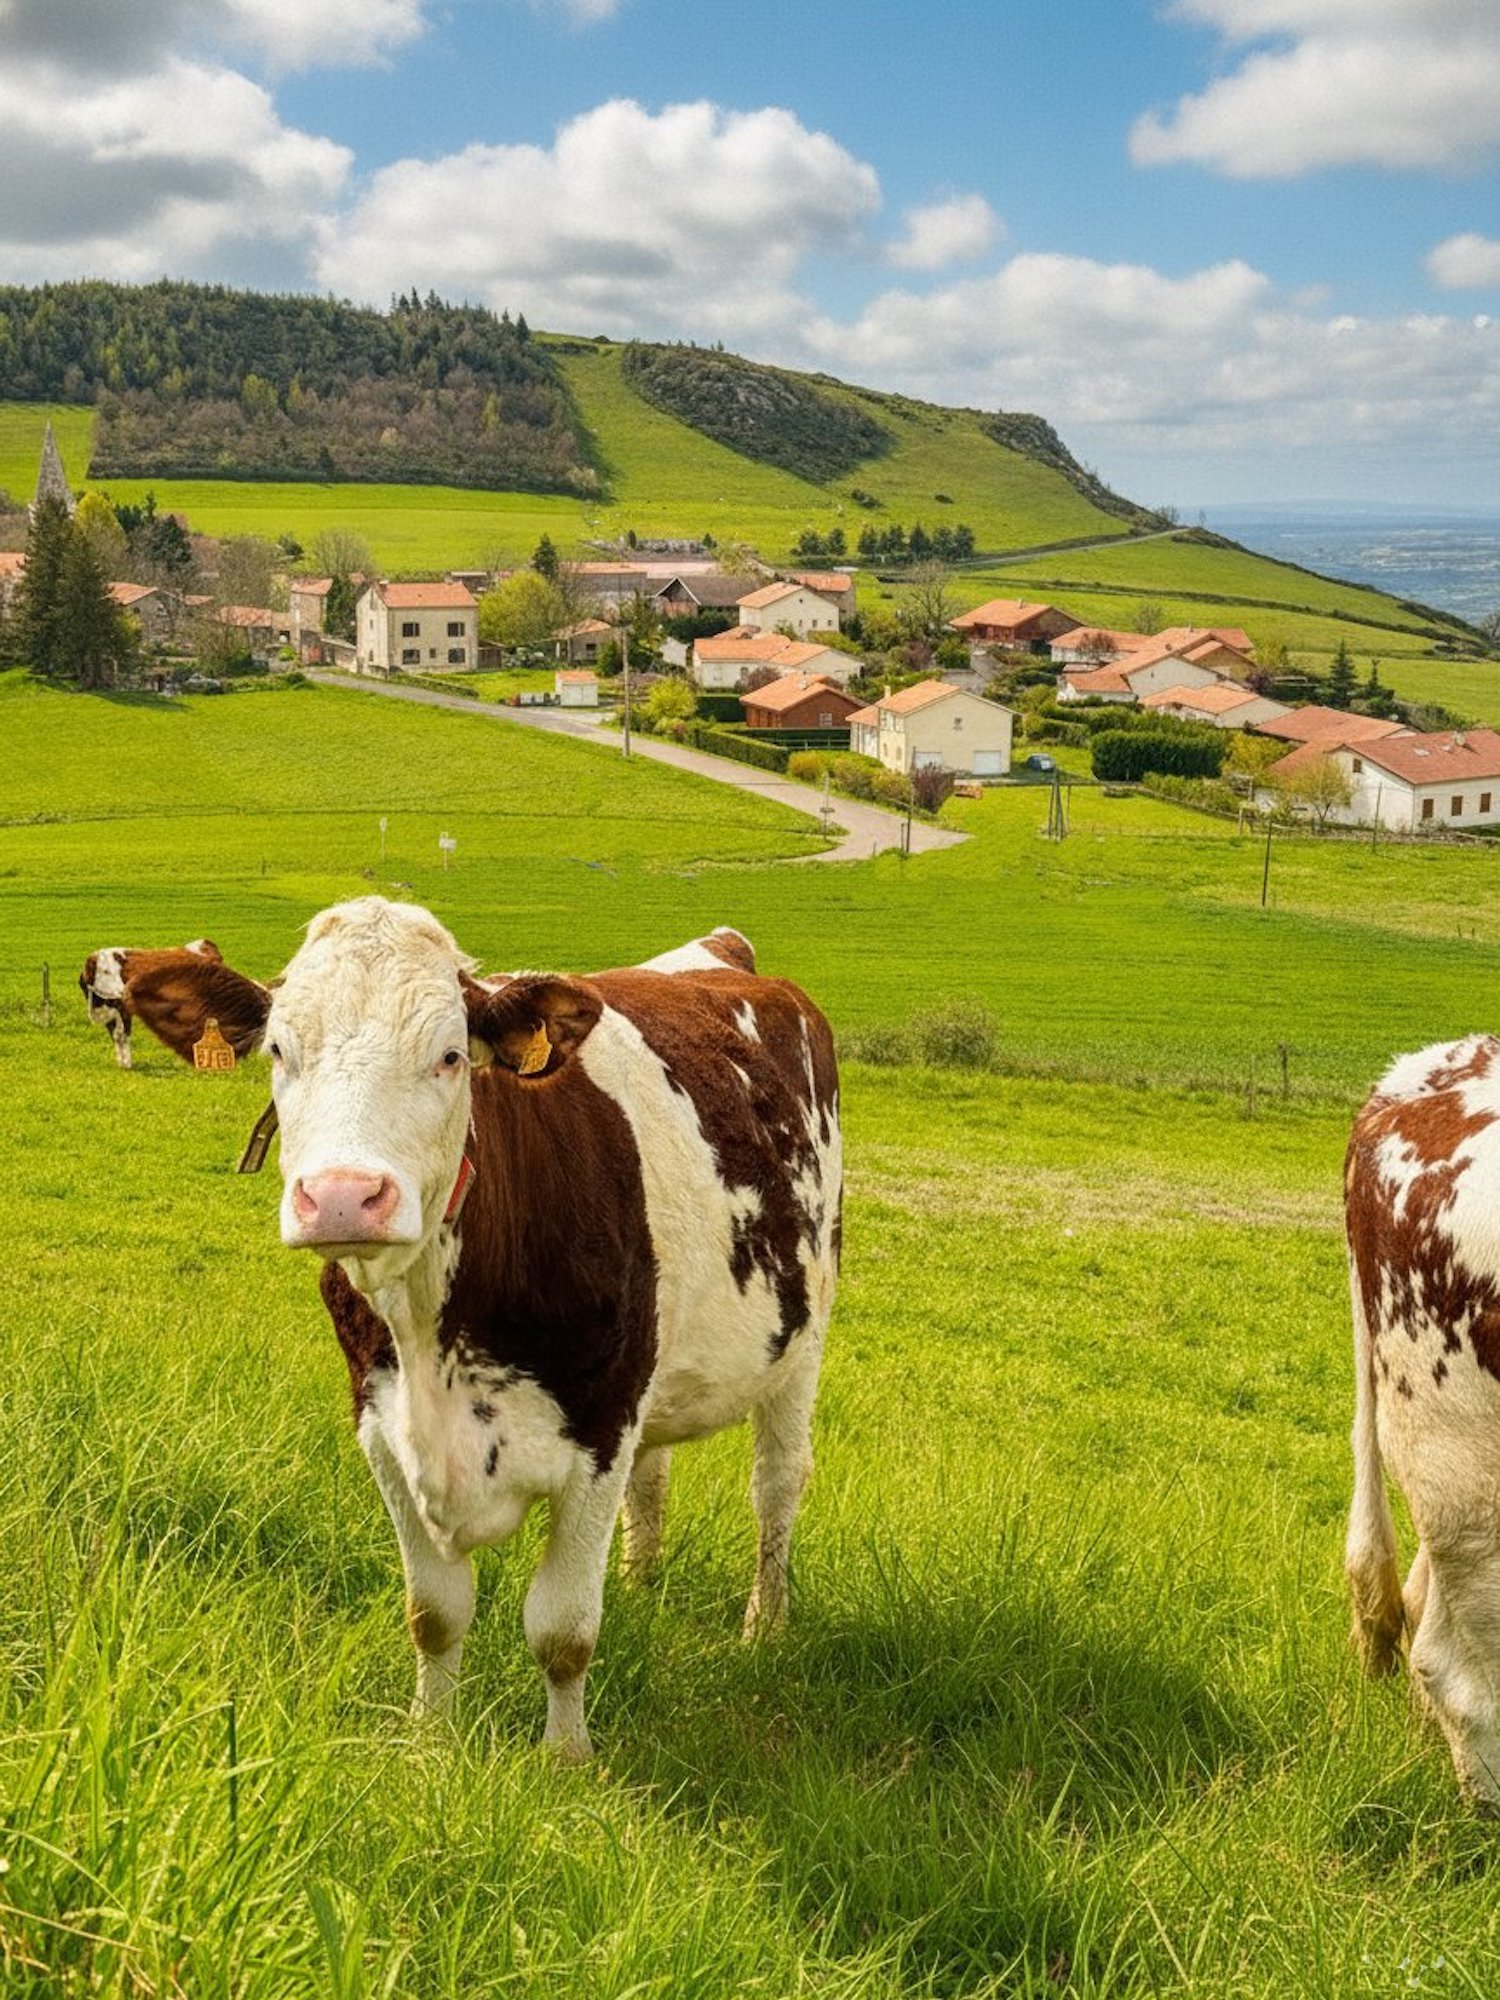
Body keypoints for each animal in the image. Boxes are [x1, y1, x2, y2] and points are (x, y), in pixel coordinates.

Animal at [175, 897, 841, 1758]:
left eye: (452, 1056)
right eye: (280, 1052)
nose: (344, 1197)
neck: (433, 1332)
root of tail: (719, 955)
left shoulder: (601, 1426)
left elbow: (563, 1630)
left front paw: (565, 1760)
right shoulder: (379, 1421)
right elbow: (433, 1613)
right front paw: (430, 1741)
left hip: (802, 1340)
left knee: (777, 1485)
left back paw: (764, 1626)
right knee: (654, 1478)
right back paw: (640, 1583)